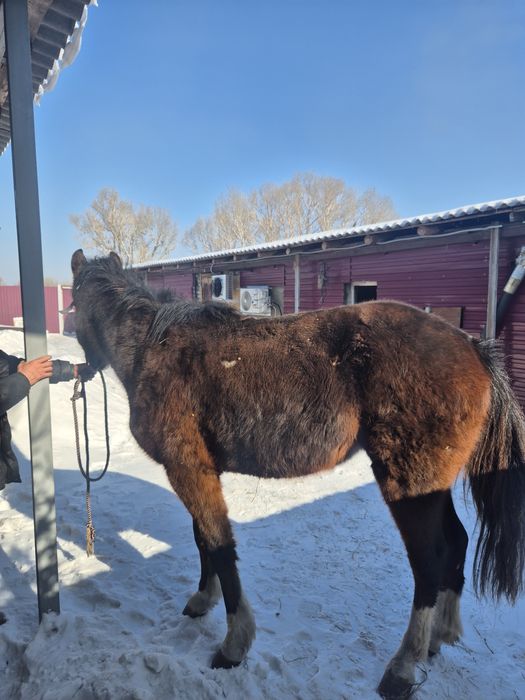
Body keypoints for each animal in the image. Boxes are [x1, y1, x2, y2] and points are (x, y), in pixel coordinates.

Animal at [69, 249, 525, 699]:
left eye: (71, 305)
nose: (84, 368)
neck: (155, 347)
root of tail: (473, 347)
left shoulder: (187, 468)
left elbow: (218, 545)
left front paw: (233, 645)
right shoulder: (197, 468)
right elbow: (202, 538)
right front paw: (201, 600)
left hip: (409, 484)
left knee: (429, 563)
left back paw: (402, 668)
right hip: (431, 485)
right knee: (456, 543)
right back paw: (438, 637)